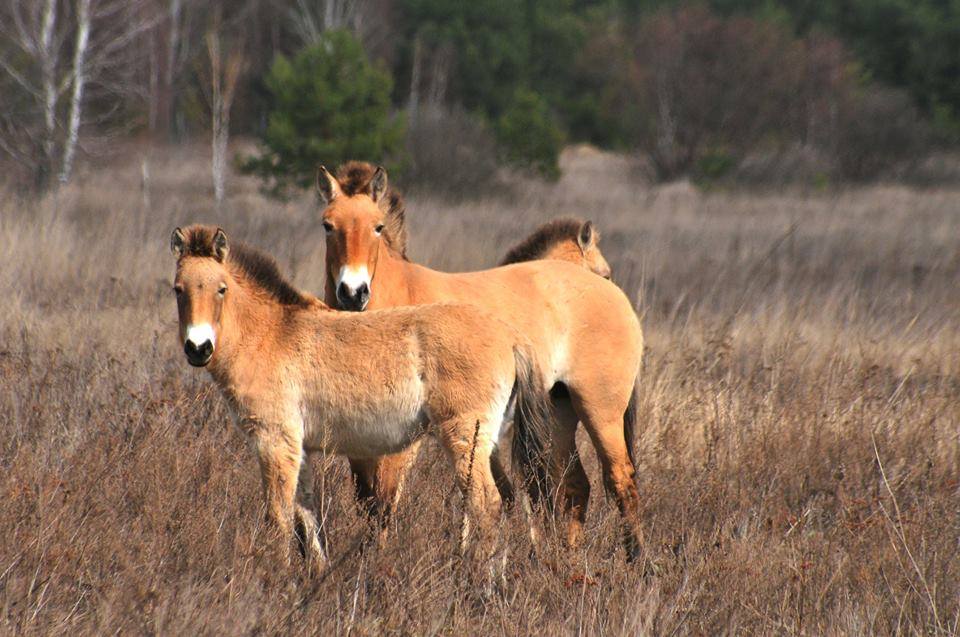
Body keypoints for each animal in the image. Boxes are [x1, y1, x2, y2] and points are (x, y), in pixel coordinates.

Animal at [169, 225, 552, 572]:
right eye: (178, 290)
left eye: (221, 289)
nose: (198, 348)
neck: (270, 335)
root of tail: (510, 336)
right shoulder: (299, 447)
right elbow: (306, 516)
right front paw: (316, 578)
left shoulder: (274, 441)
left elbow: (279, 516)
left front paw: (276, 579)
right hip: (490, 441)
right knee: (507, 499)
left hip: (464, 438)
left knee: (486, 504)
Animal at [316, 163, 644, 556]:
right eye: (327, 225)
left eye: (377, 227)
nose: (352, 293)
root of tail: (617, 300)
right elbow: (370, 502)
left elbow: (385, 501)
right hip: (559, 412)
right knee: (577, 487)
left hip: (600, 411)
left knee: (621, 482)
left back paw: (637, 562)